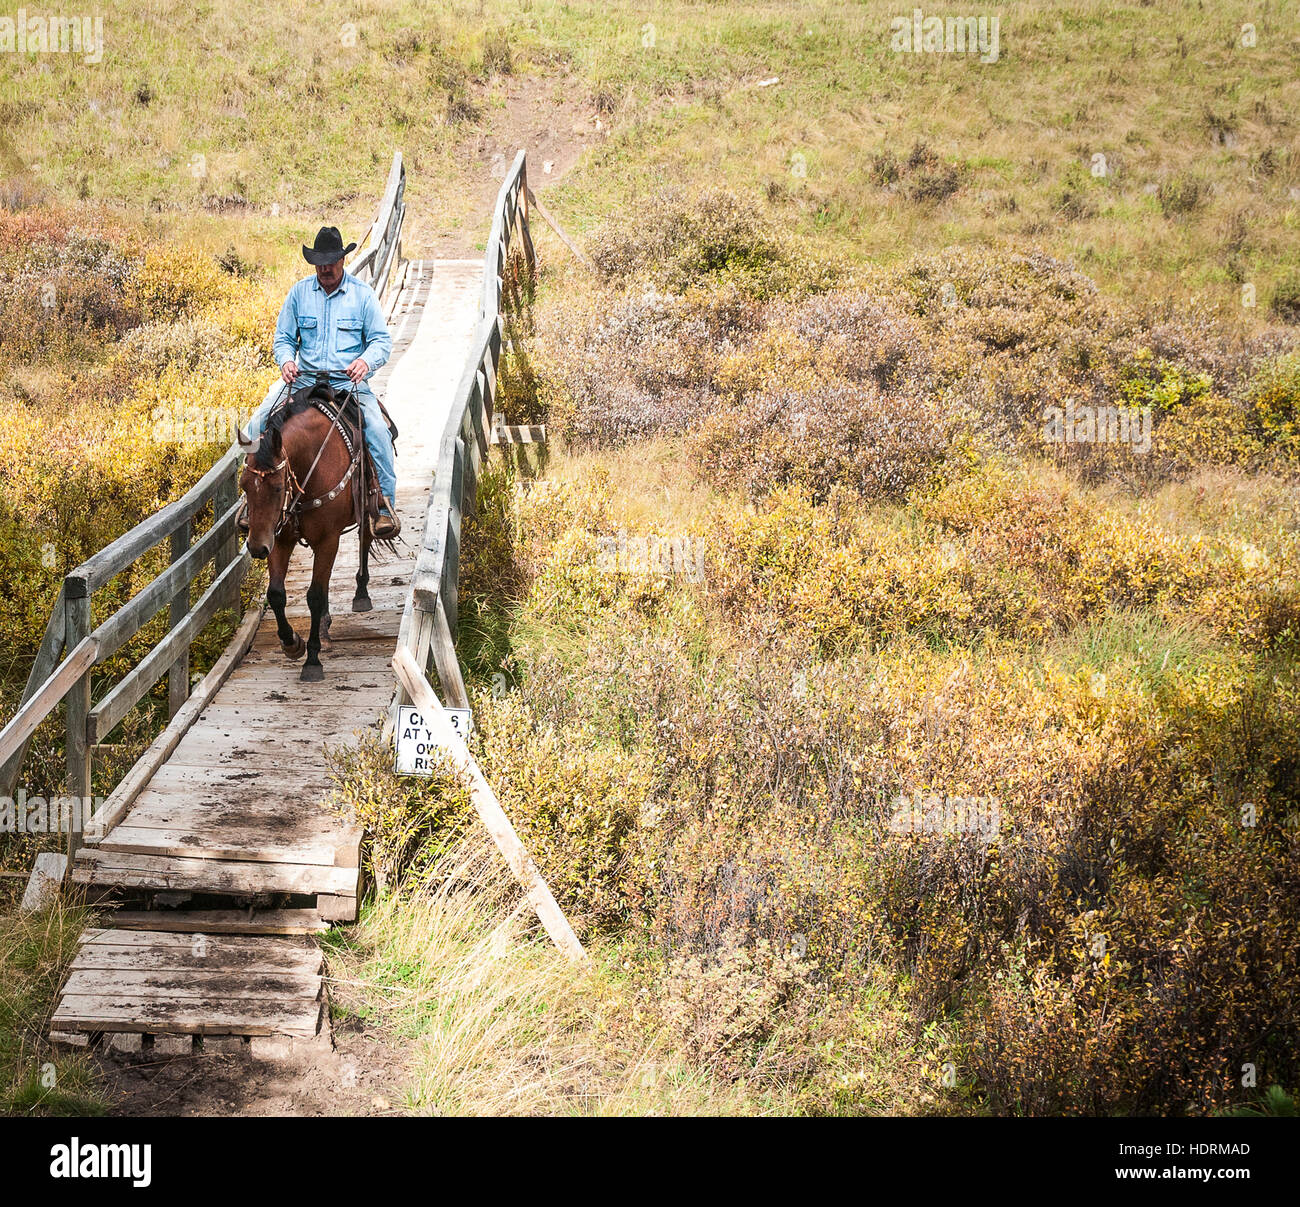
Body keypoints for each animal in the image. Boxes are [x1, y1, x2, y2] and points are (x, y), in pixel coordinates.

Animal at [237, 392, 374, 681]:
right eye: (243, 485)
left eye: (278, 487)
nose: (256, 548)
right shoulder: (279, 538)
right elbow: (276, 593)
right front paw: (291, 643)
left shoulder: (327, 539)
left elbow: (314, 596)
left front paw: (312, 659)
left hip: (368, 508)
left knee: (364, 540)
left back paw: (360, 594)